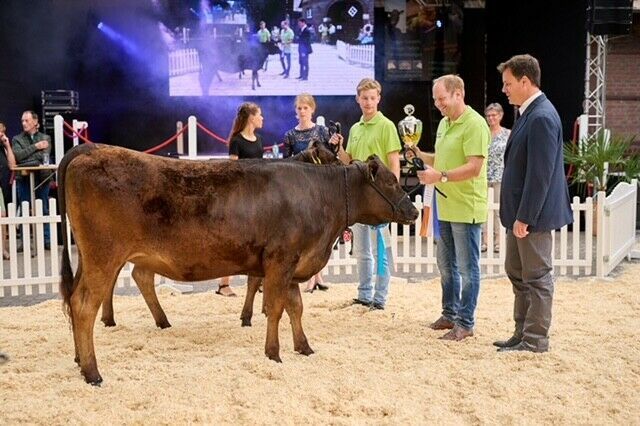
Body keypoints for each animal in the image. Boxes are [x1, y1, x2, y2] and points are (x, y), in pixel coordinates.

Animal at [166, 0, 376, 96]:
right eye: (274, 43)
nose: (280, 49)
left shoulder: (257, 65)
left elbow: (256, 75)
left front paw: (258, 85)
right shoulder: (254, 64)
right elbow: (253, 75)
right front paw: (254, 86)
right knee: (203, 77)